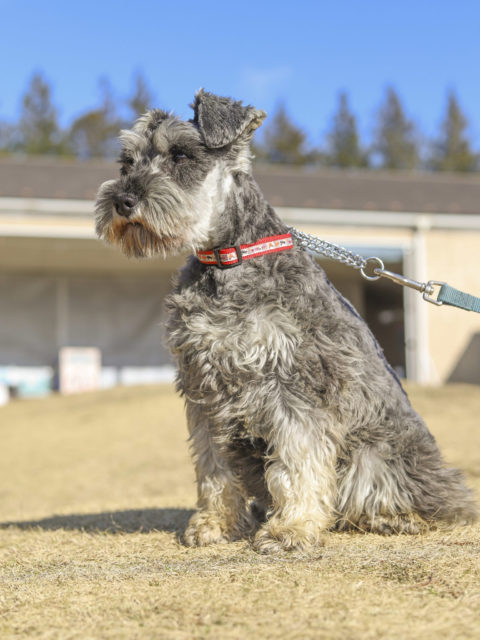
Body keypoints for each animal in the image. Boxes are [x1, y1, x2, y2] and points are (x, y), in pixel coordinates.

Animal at [94, 90, 476, 556]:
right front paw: (216, 523)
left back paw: (393, 517)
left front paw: (290, 529)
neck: (227, 260)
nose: (122, 201)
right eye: (126, 162)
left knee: (412, 497)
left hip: (375, 453)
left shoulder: (293, 383)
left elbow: (297, 461)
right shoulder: (204, 389)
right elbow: (212, 465)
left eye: (181, 155)